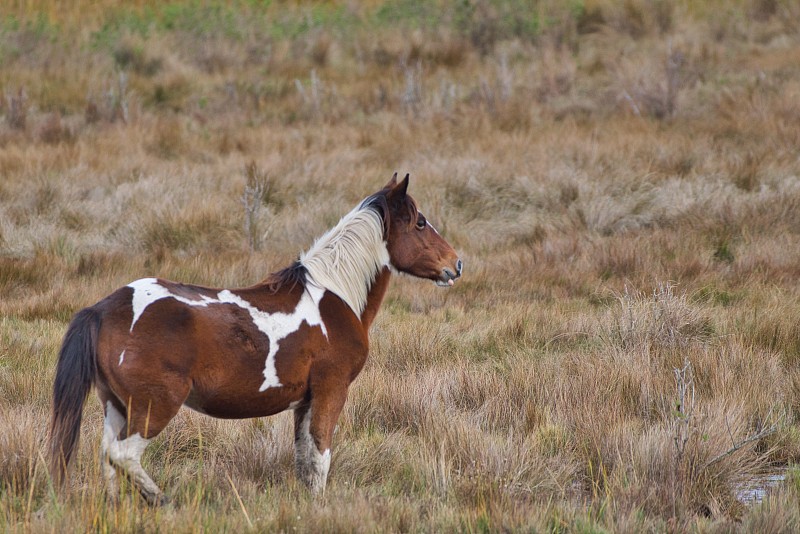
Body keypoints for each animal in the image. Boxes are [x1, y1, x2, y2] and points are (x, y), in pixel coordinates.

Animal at [48, 175, 462, 506]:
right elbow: (321, 455)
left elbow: (304, 459)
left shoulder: (304, 401)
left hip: (115, 405)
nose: (456, 264)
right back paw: (161, 500)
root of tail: (103, 309)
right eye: (420, 222)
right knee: (123, 455)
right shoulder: (331, 390)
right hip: (154, 406)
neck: (333, 293)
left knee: (108, 459)